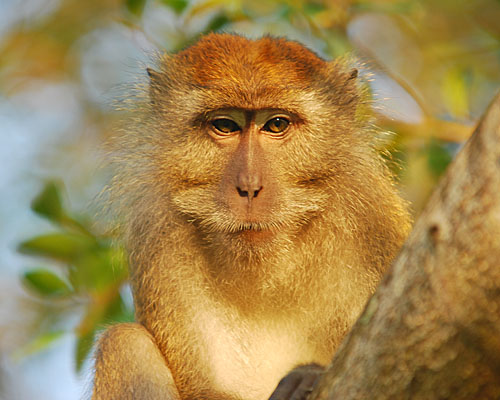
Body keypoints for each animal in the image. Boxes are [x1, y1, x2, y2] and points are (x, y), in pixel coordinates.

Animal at [92, 32, 412, 400]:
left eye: (276, 124)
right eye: (224, 125)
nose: (248, 187)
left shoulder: (373, 224)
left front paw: (308, 376)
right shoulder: (158, 230)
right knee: (124, 343)